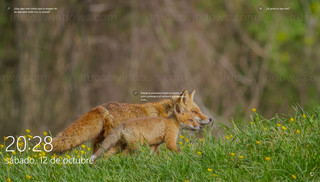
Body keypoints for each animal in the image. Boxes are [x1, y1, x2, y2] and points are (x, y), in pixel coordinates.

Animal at [52, 89, 212, 154]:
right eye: (195, 112)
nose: (210, 119)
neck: (164, 114)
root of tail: (102, 107)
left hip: (101, 142)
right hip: (115, 142)